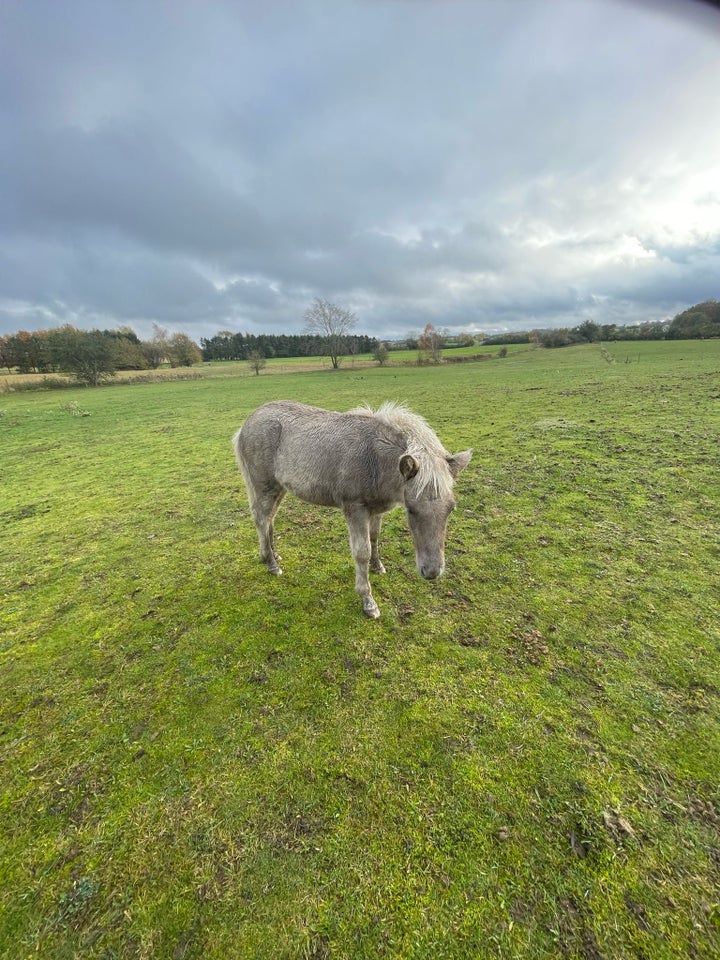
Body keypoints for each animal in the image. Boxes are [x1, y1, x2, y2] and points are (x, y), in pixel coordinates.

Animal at [233, 400, 476, 620]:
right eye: (411, 510)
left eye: (451, 509)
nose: (432, 572)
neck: (376, 461)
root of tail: (246, 424)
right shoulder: (355, 509)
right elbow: (362, 552)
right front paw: (368, 601)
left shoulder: (376, 509)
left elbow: (375, 537)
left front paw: (378, 566)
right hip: (264, 486)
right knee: (261, 519)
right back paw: (271, 563)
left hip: (280, 488)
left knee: (270, 518)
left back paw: (274, 554)